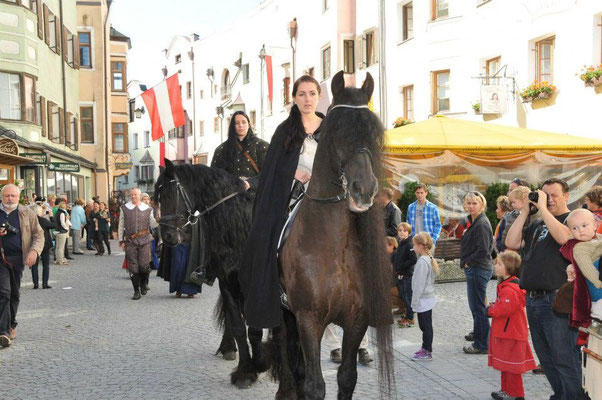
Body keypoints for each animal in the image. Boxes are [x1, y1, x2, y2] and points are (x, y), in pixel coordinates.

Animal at [154, 161, 266, 390]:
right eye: (158, 197)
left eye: (171, 194)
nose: (167, 236)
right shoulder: (227, 283)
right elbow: (240, 326)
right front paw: (245, 371)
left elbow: (257, 326)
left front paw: (261, 363)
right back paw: (228, 347)